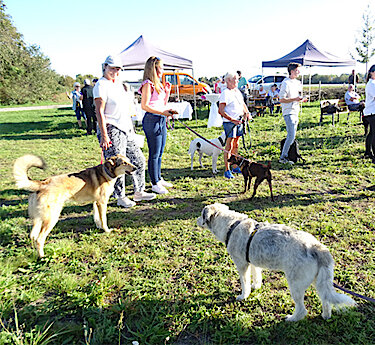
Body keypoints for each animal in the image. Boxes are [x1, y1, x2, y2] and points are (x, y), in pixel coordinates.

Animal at [198, 203, 356, 322]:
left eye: (201, 215)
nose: (197, 221)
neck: (232, 225)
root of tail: (318, 247)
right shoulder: (253, 263)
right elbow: (257, 277)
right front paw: (256, 286)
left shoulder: (242, 265)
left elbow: (244, 283)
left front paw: (243, 296)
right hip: (320, 282)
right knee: (326, 300)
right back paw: (325, 316)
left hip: (295, 285)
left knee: (302, 310)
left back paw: (292, 319)